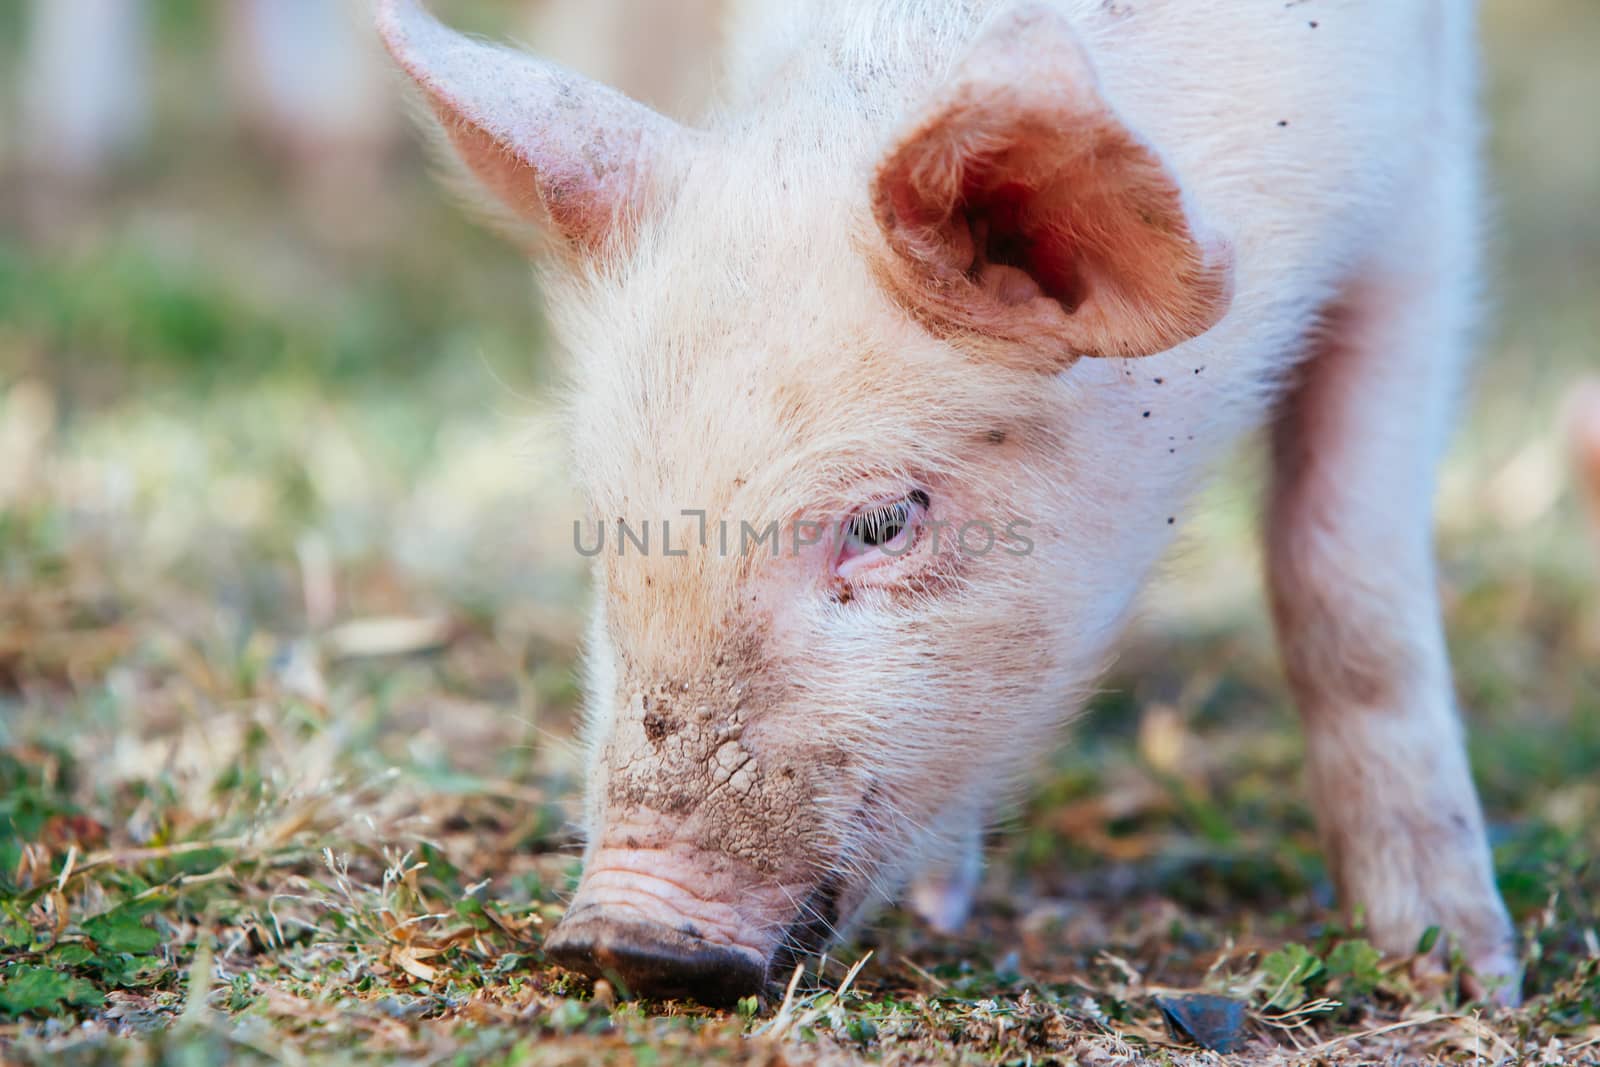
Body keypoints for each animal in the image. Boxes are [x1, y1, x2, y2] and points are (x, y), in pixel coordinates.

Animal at [380, 0, 1516, 1004]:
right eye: (611, 521)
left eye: (884, 522)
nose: (621, 936)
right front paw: (938, 903)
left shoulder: (1422, 204)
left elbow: (1343, 577)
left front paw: (1456, 968)